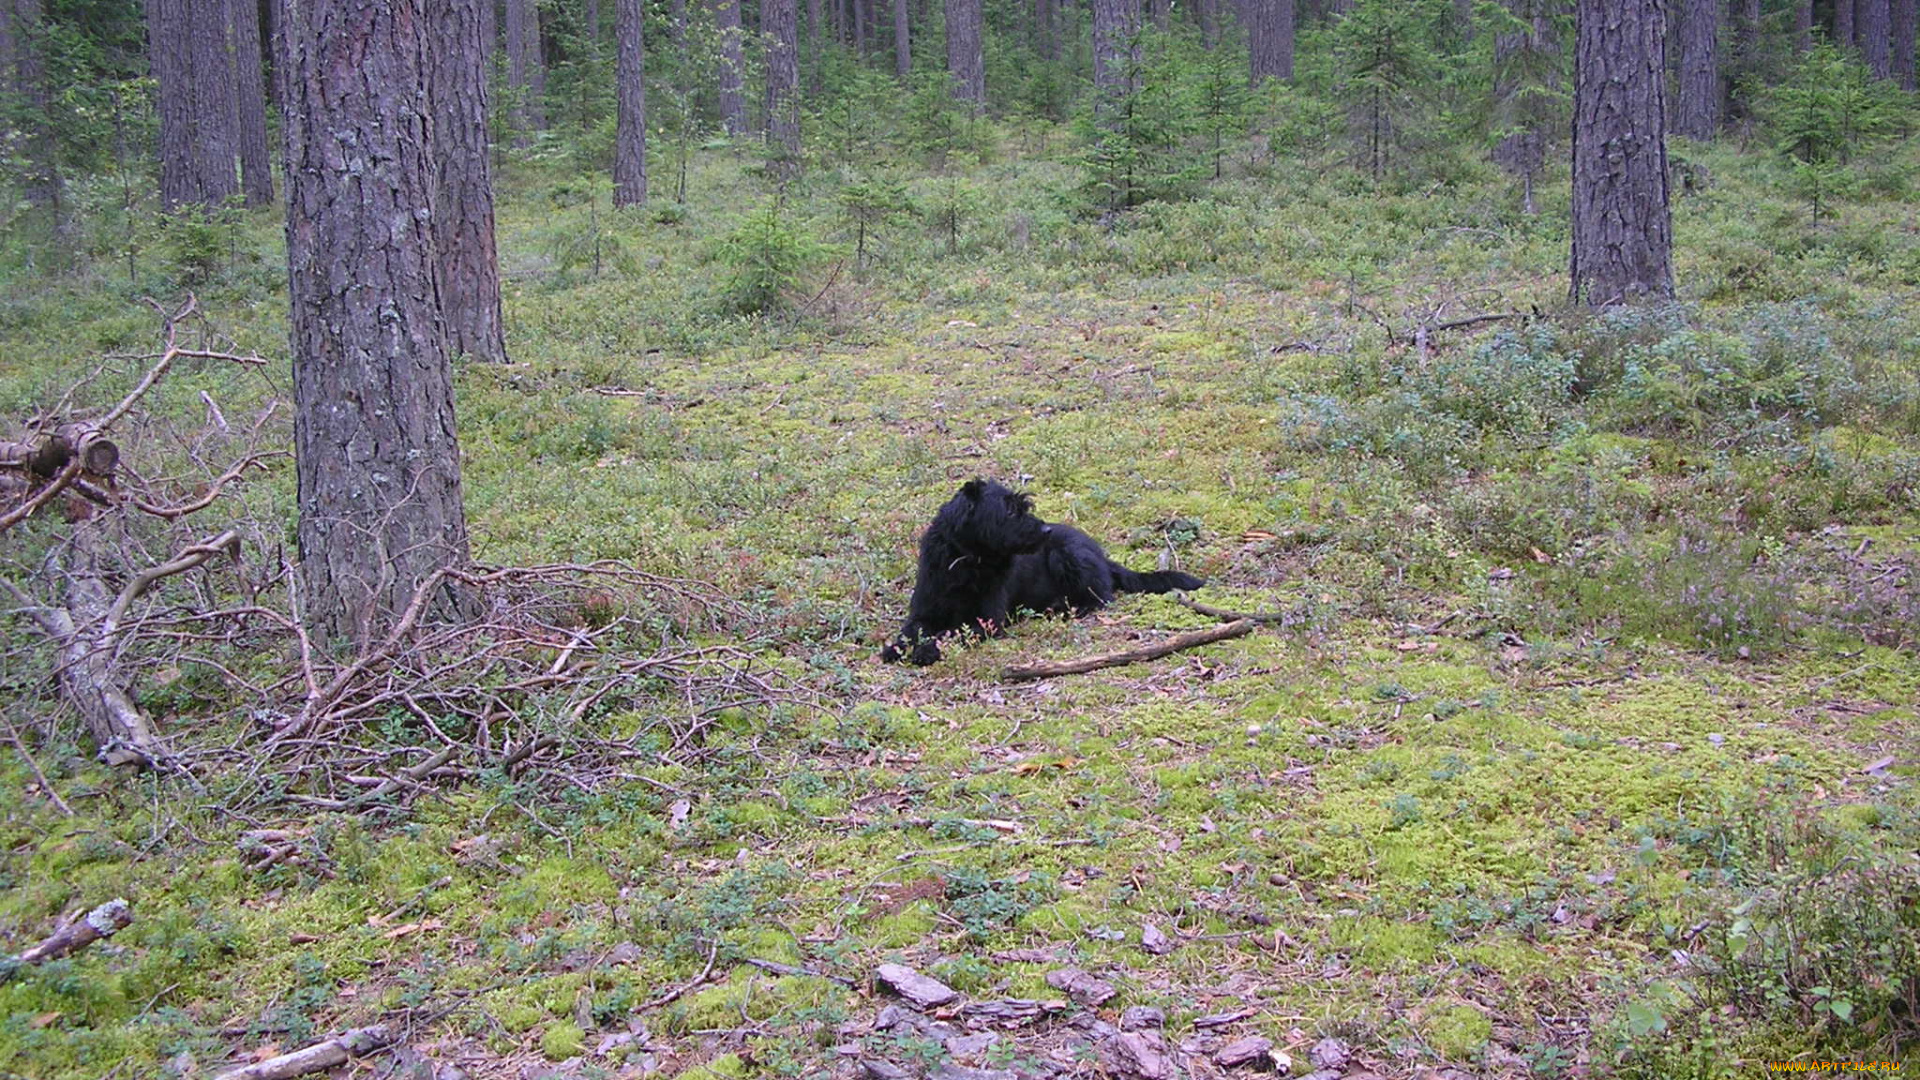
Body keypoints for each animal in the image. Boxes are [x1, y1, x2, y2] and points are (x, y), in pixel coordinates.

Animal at [879, 478, 1198, 664]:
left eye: (1024, 505)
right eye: (1009, 510)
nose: (1045, 530)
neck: (965, 559)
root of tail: (1102, 555)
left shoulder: (987, 620)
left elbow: (951, 633)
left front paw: (926, 651)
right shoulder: (924, 613)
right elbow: (911, 632)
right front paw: (895, 648)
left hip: (1067, 555)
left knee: (1102, 596)